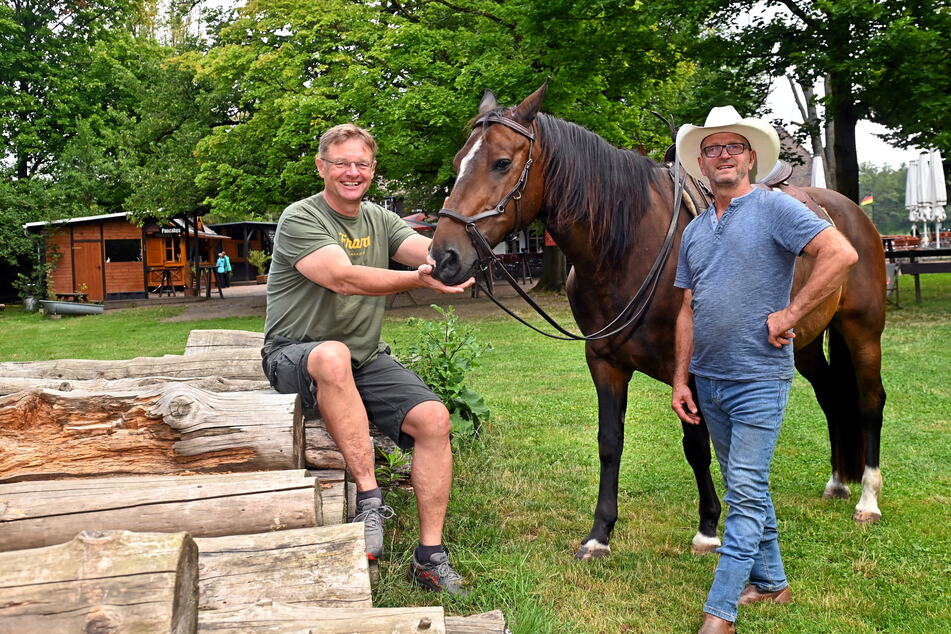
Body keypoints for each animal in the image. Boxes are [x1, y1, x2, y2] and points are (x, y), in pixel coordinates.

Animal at [428, 84, 888, 556]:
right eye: (457, 162)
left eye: (502, 162)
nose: (443, 256)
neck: (628, 248)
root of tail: (847, 211)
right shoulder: (605, 364)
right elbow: (609, 443)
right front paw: (600, 534)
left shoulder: (690, 369)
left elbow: (696, 445)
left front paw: (708, 526)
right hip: (805, 342)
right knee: (832, 394)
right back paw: (838, 482)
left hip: (863, 329)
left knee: (870, 401)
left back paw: (868, 499)